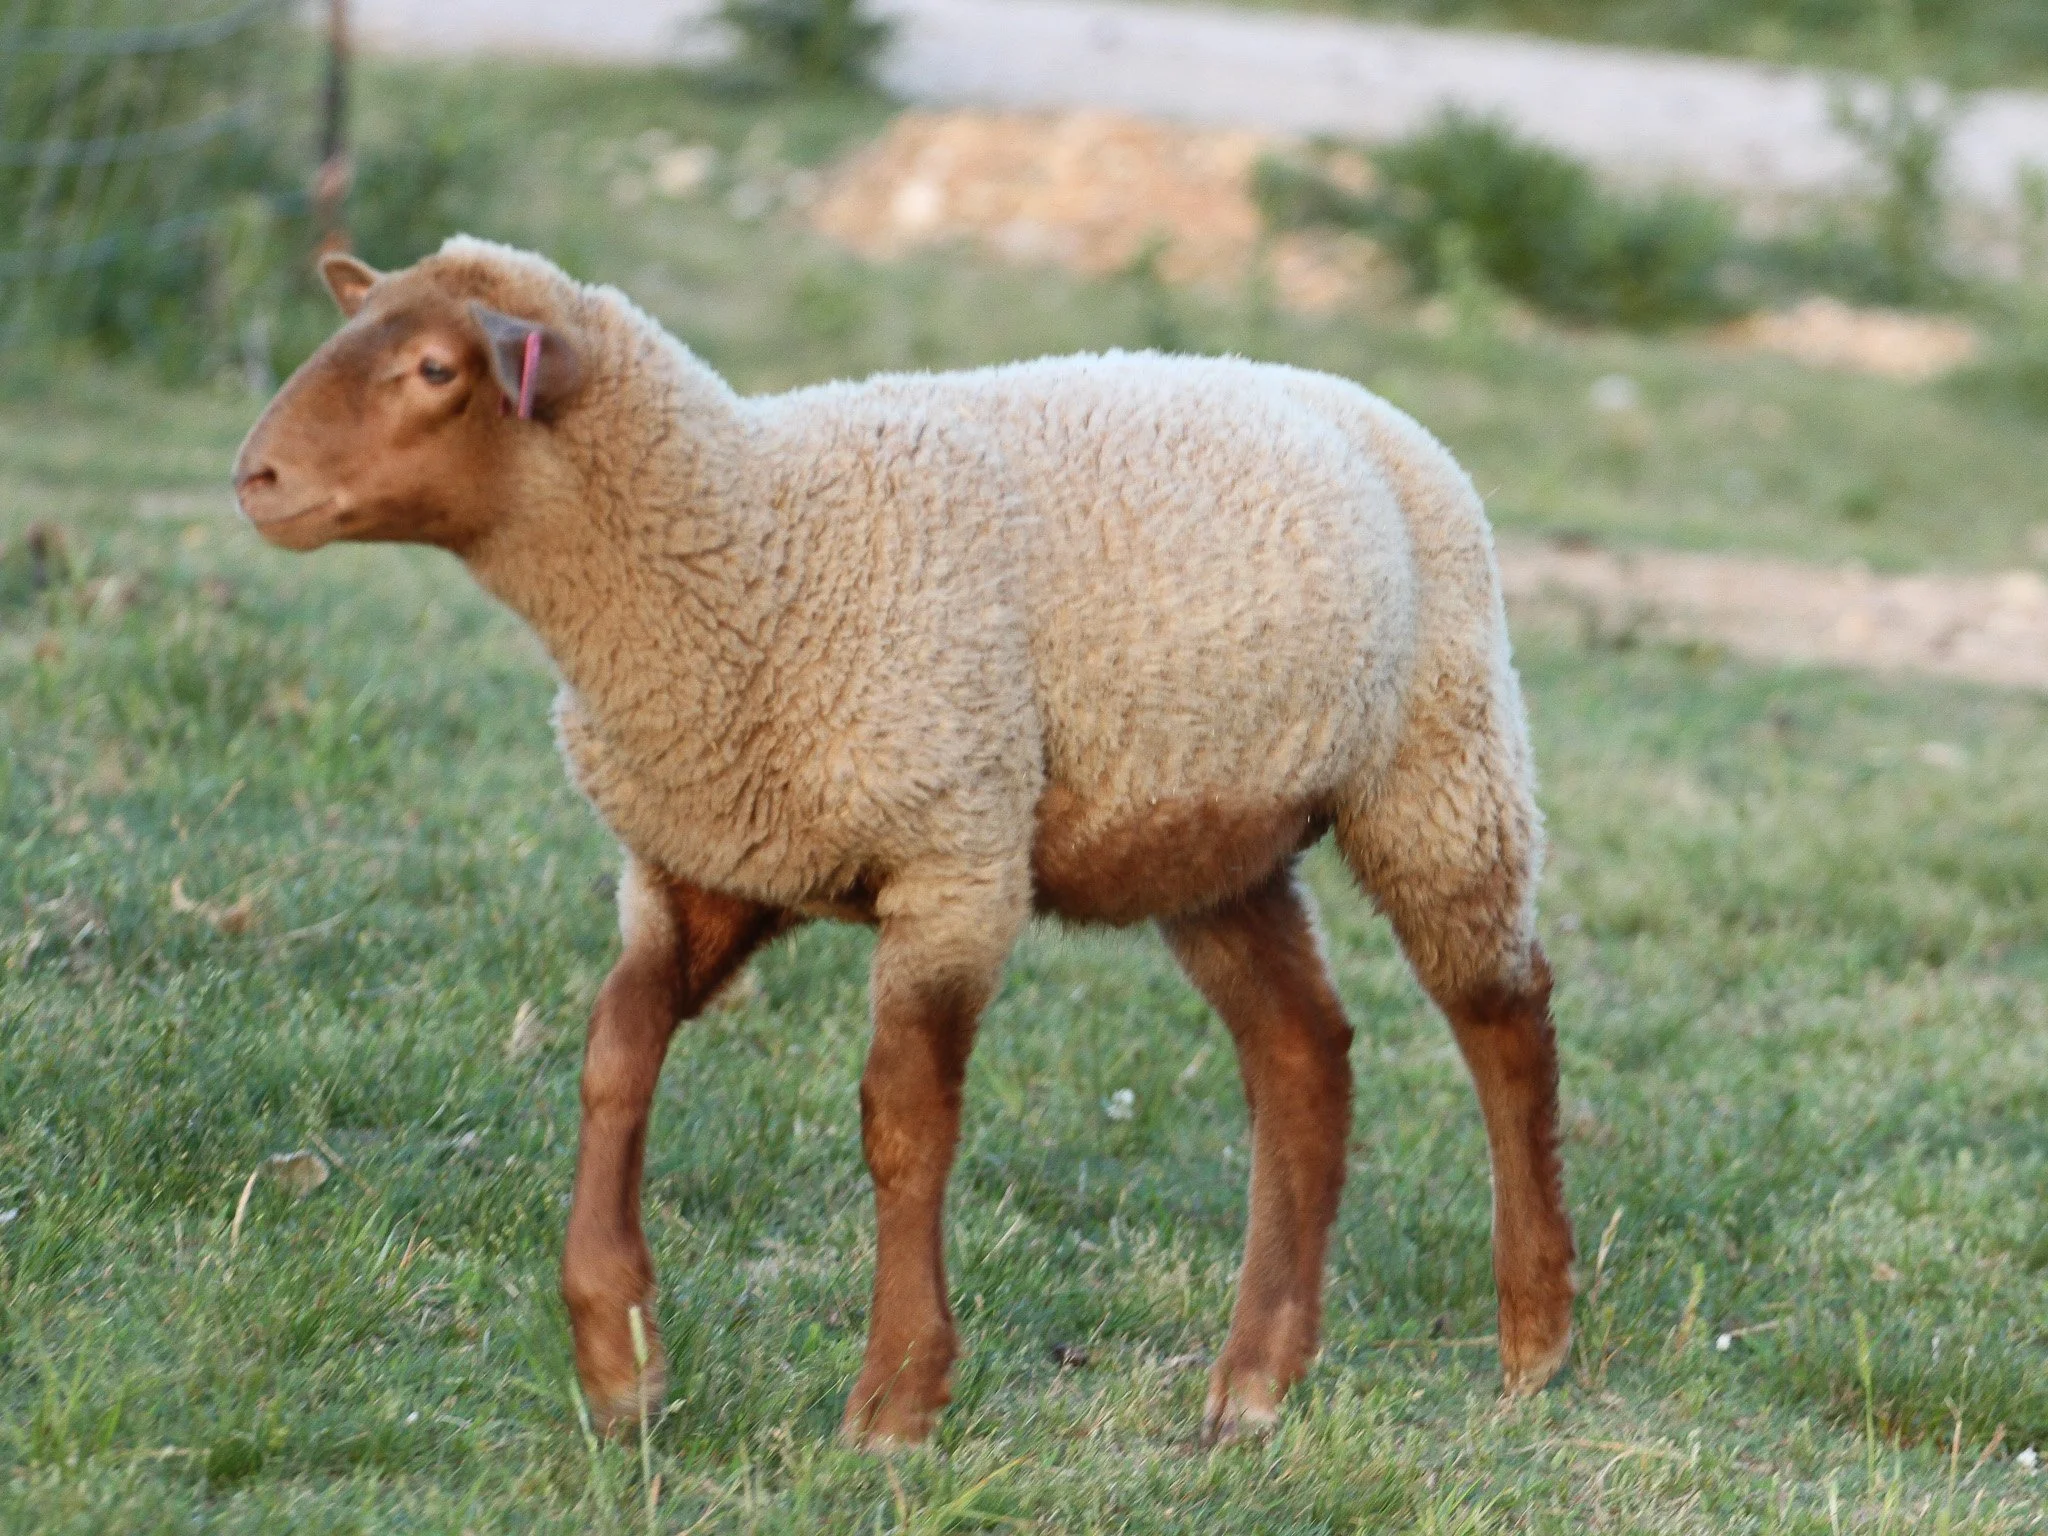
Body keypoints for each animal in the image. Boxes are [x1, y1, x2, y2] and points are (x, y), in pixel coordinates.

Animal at [232, 235, 1574, 1449]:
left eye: (432, 368)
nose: (253, 478)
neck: (751, 554)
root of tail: (1356, 402)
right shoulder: (701, 863)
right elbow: (613, 1056)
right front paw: (619, 1362)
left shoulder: (953, 859)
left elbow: (902, 1121)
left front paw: (894, 1401)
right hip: (1210, 840)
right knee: (1301, 1056)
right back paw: (1253, 1381)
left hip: (1439, 764)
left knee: (1504, 1019)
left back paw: (1532, 1337)